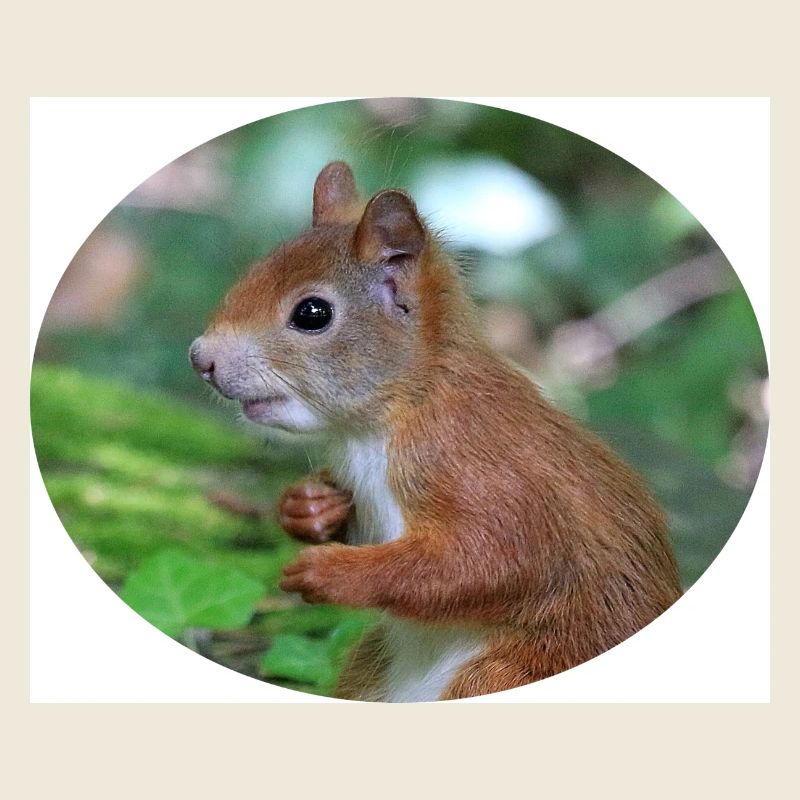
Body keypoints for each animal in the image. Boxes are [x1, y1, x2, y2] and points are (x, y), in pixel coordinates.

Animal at [190, 161, 683, 702]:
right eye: (253, 270)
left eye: (312, 313)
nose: (200, 358)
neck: (389, 419)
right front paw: (307, 507)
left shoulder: (481, 469)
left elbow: (495, 561)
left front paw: (331, 571)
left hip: (507, 673)